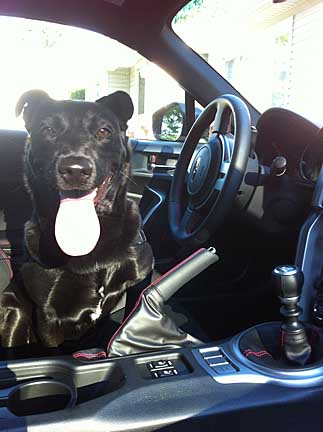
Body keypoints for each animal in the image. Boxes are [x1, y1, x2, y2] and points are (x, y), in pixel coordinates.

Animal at [0, 89, 154, 350]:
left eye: (104, 131)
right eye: (48, 130)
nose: (75, 169)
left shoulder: (139, 280)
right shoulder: (49, 317)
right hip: (13, 309)